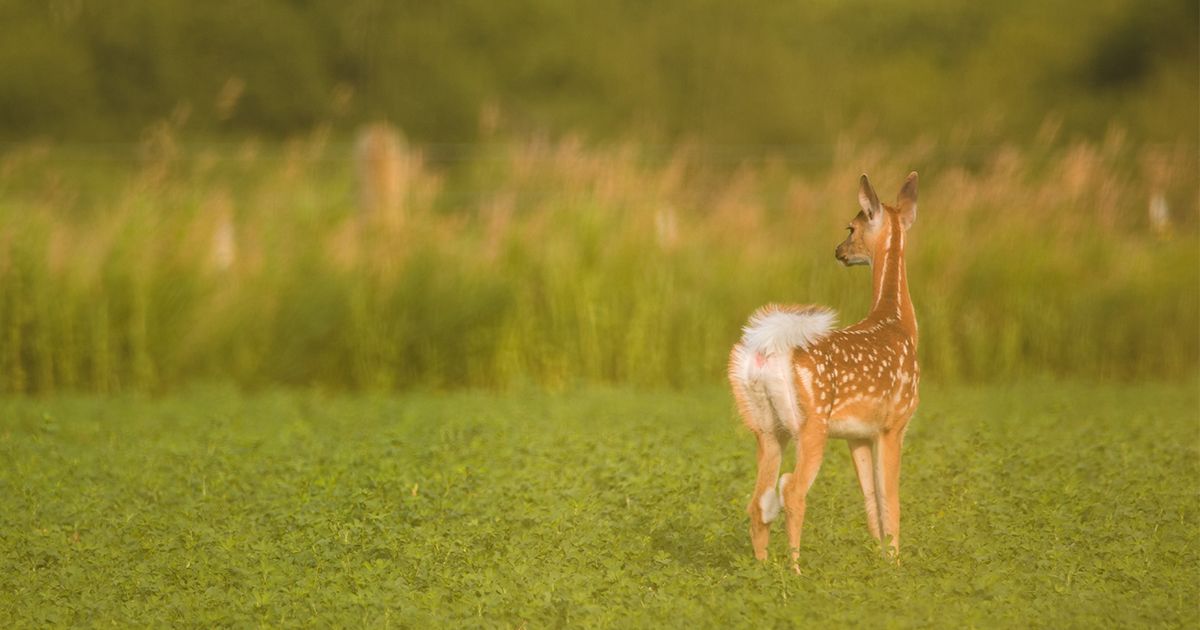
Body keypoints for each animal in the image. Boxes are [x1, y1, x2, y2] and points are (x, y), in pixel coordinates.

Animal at [729, 170, 916, 568]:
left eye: (850, 227)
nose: (838, 251)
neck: (897, 322)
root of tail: (765, 351)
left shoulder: (857, 434)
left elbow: (871, 501)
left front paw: (880, 557)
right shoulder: (895, 422)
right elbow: (890, 499)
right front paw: (895, 562)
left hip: (765, 427)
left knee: (758, 499)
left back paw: (762, 568)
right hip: (811, 422)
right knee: (791, 489)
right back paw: (796, 570)